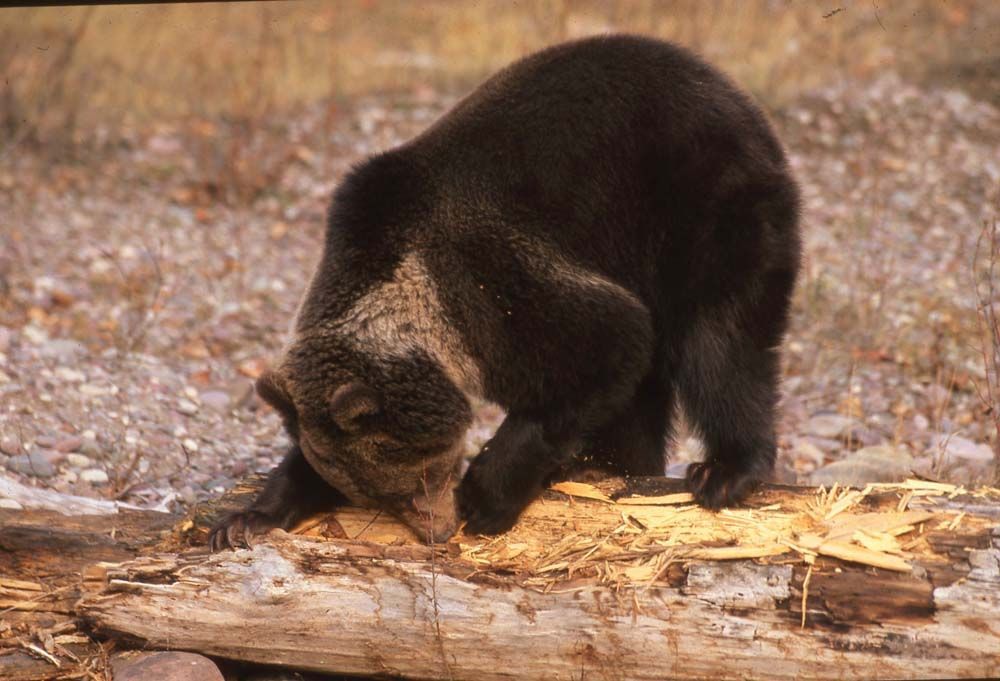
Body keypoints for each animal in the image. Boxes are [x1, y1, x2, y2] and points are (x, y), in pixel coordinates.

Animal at [209, 34, 801, 550]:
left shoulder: (491, 286)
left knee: (721, 341)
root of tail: (730, 90)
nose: (438, 530)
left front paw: (485, 497)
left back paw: (723, 470)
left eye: (419, 479)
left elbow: (608, 345)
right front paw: (249, 516)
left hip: (702, 204)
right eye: (380, 492)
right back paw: (612, 466)